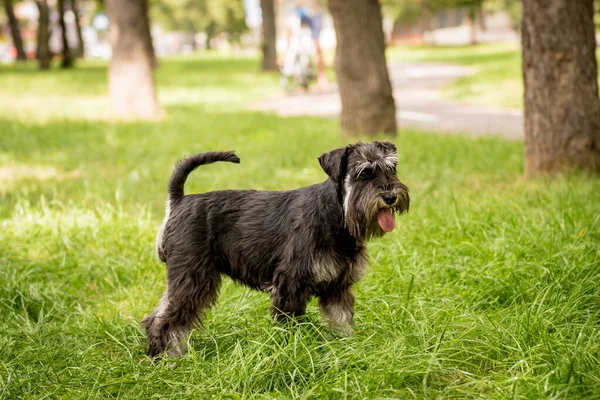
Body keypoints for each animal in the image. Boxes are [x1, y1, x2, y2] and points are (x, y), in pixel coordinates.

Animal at [143, 141, 410, 356]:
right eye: (363, 173)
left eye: (392, 168)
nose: (390, 196)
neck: (337, 214)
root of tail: (179, 201)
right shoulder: (291, 283)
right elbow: (290, 322)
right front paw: (294, 347)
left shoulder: (338, 286)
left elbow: (340, 318)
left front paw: (347, 345)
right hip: (192, 277)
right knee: (168, 321)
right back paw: (170, 358)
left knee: (156, 315)